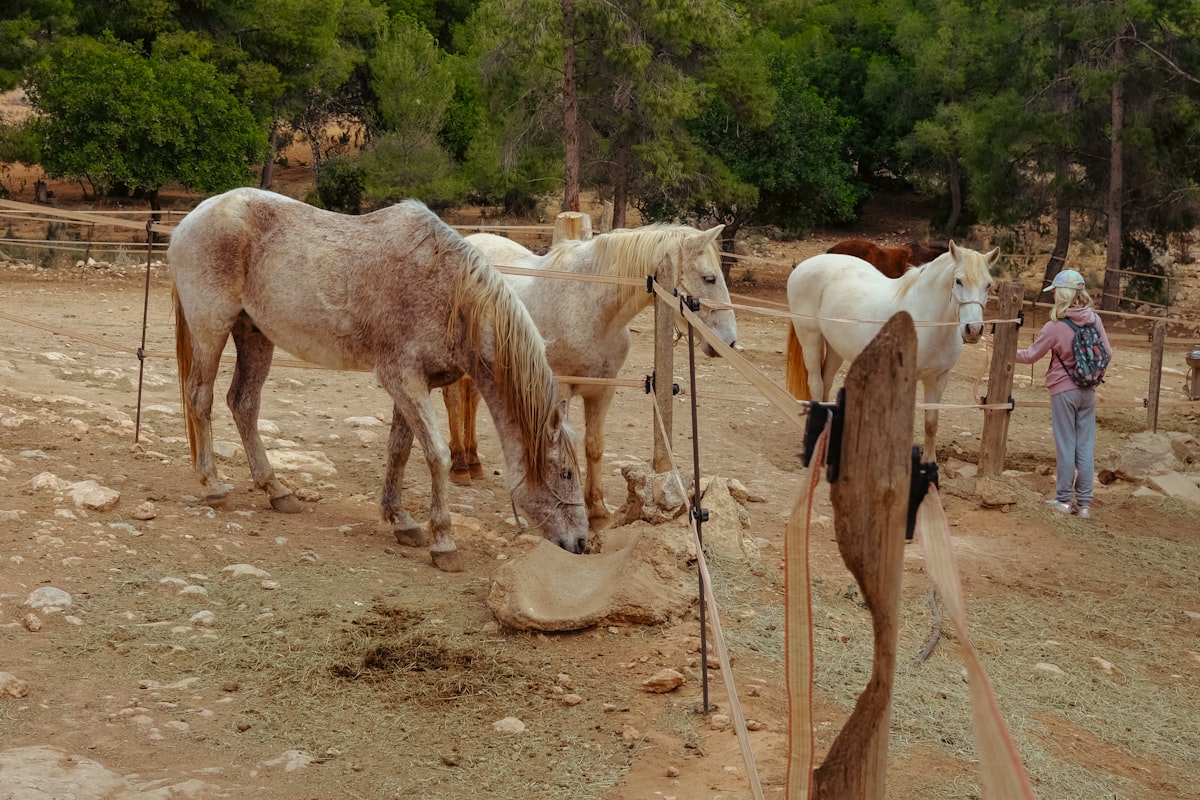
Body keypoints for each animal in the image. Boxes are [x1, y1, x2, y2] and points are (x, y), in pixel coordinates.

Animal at [167, 188, 588, 572]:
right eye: (566, 473)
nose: (583, 542)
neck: (452, 295)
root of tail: (191, 219)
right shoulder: (403, 379)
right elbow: (436, 454)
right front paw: (443, 541)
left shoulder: (416, 384)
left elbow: (400, 449)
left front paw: (401, 521)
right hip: (211, 330)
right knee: (199, 399)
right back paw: (213, 486)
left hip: (253, 334)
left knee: (243, 404)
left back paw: (277, 490)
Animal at [443, 223, 738, 527]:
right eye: (710, 278)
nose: (729, 342)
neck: (587, 305)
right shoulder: (560, 389)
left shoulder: (602, 391)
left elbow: (594, 446)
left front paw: (596, 509)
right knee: (453, 399)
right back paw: (460, 465)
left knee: (471, 401)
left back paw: (473, 460)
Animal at [785, 240, 997, 460]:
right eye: (958, 281)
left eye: (988, 285)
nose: (974, 330)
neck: (927, 320)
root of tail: (805, 265)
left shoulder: (938, 379)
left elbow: (931, 423)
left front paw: (929, 461)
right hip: (810, 338)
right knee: (816, 384)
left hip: (835, 347)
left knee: (826, 382)